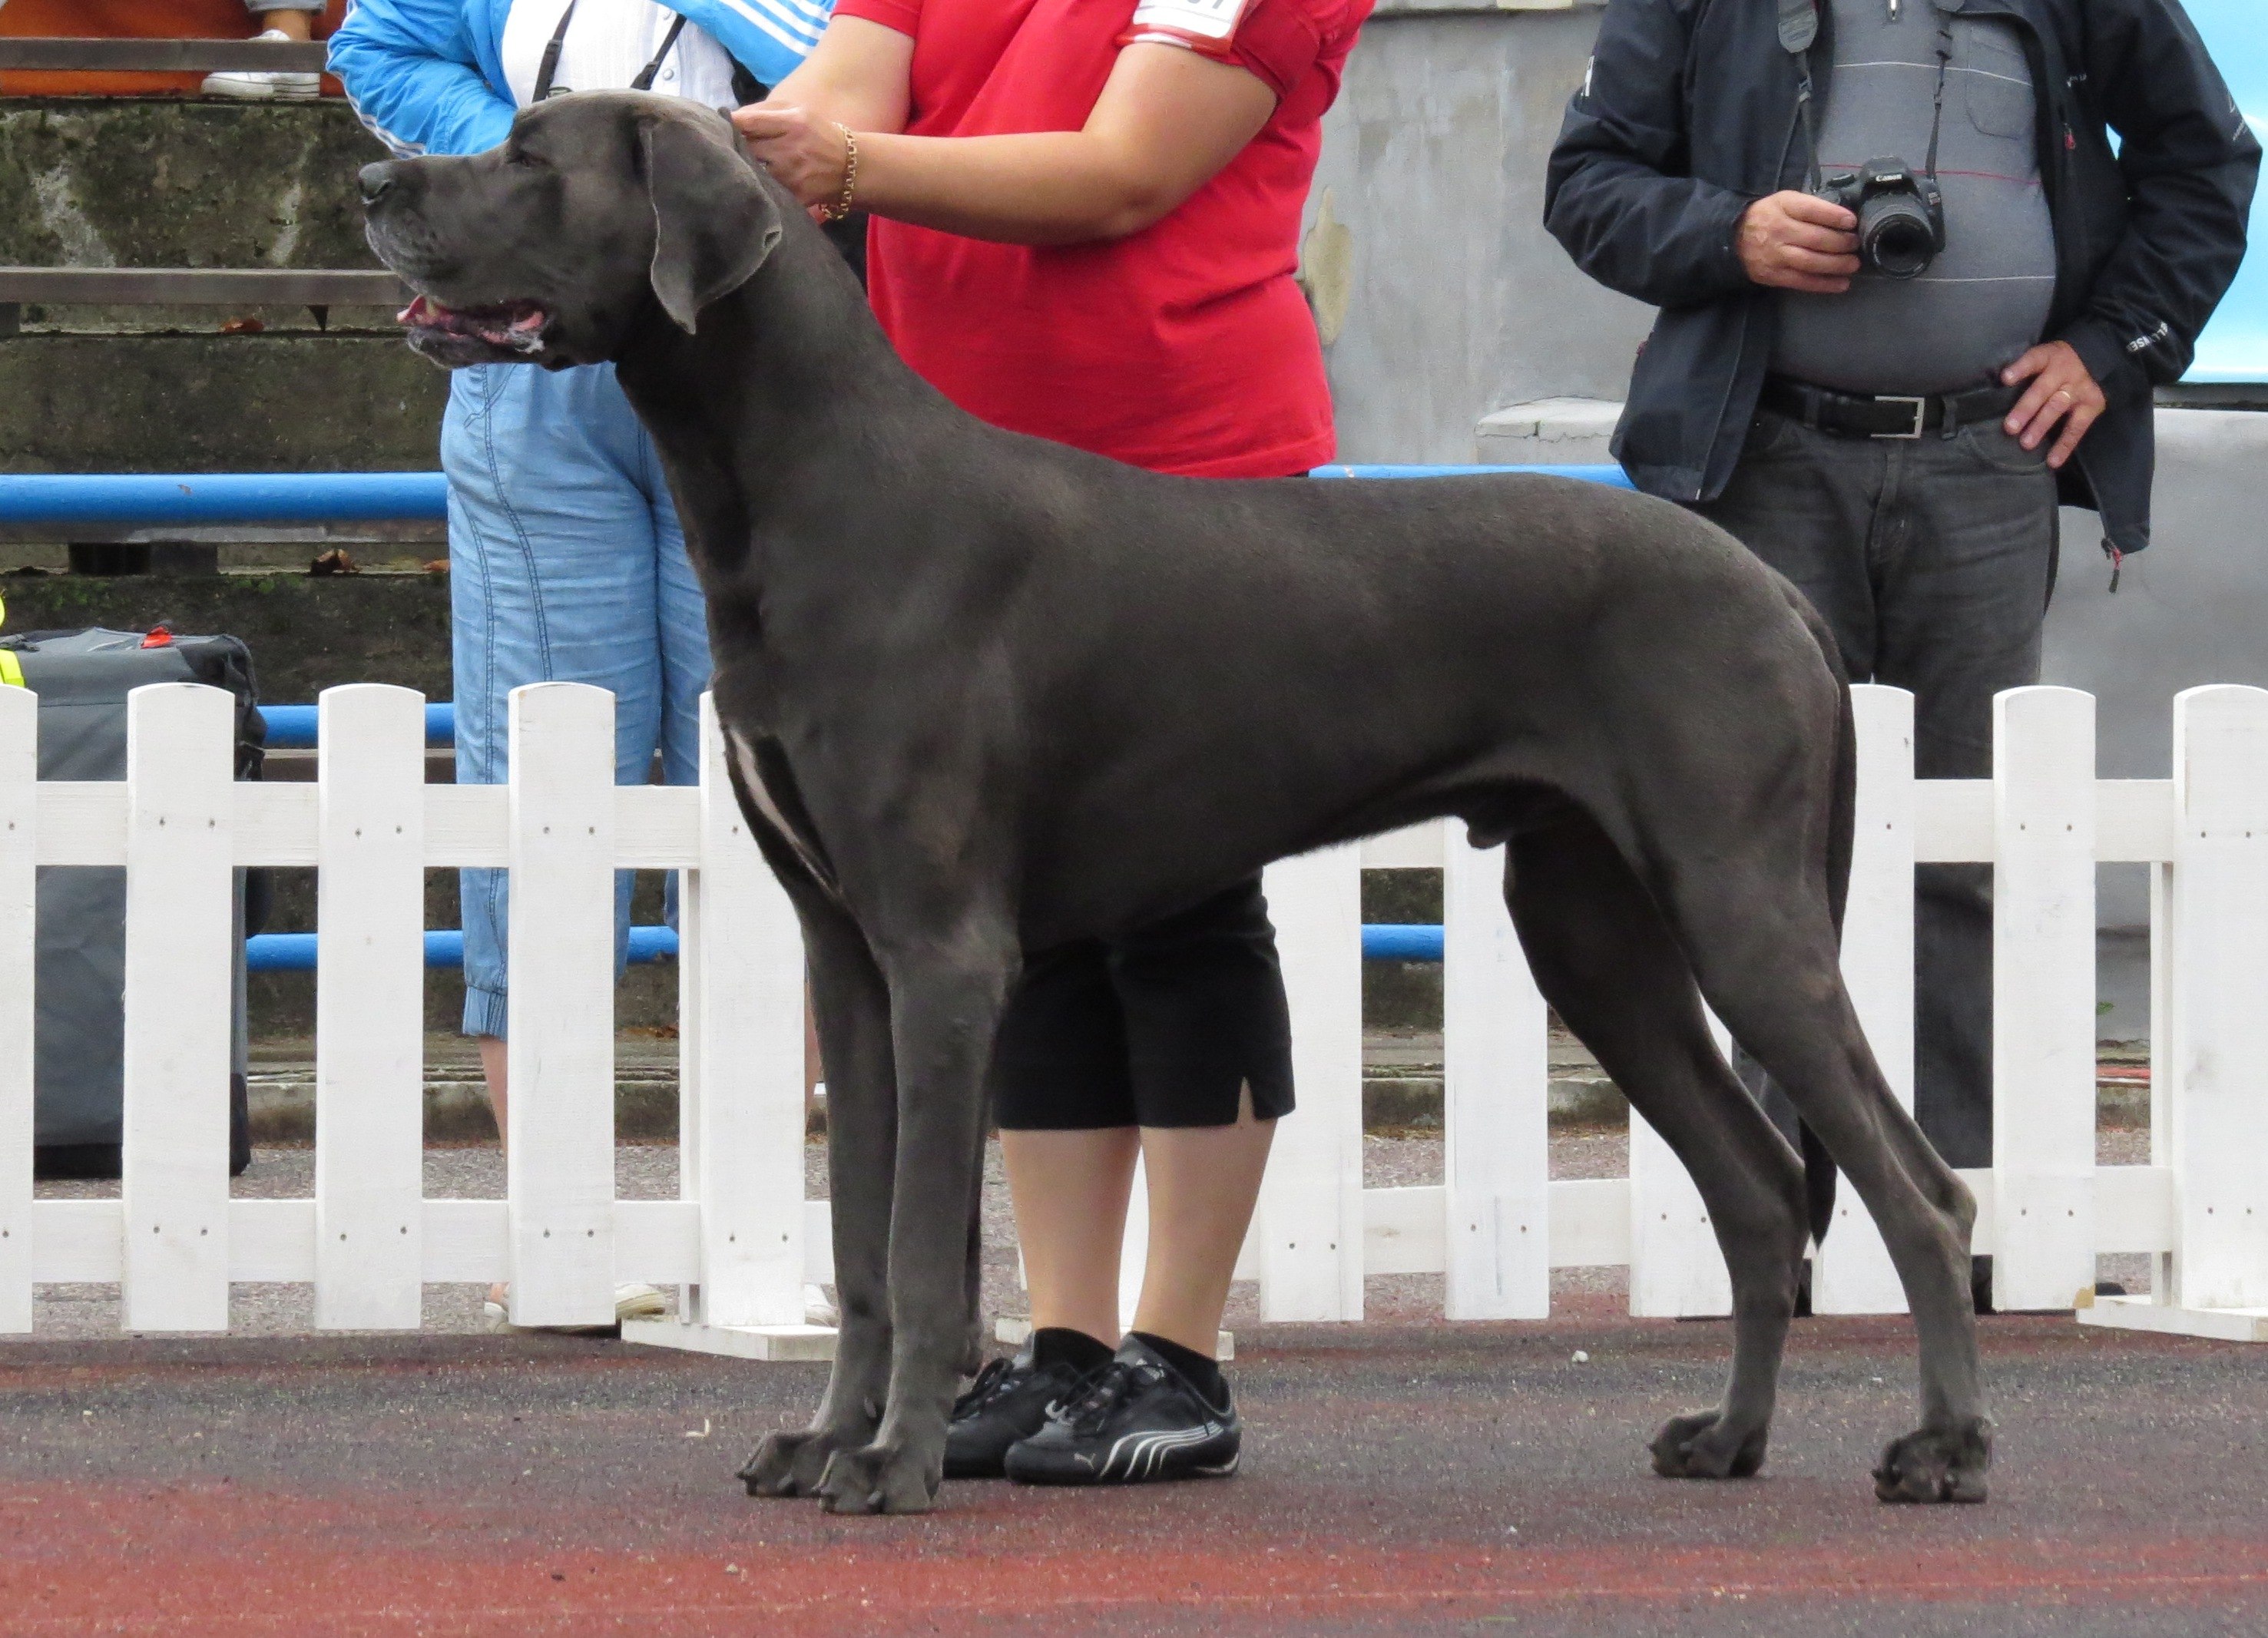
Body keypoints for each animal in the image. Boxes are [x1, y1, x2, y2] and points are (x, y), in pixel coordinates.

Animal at [358, 92, 1986, 1506]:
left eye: (528, 152)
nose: (374, 180)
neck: (802, 484)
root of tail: (1769, 585)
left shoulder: (945, 952)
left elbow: (921, 1240)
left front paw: (894, 1462)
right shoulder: (850, 956)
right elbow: (869, 1247)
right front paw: (830, 1440)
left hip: (1737, 901)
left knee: (1917, 1188)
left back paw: (1943, 1448)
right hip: (1592, 930)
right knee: (1761, 1185)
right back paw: (1729, 1437)